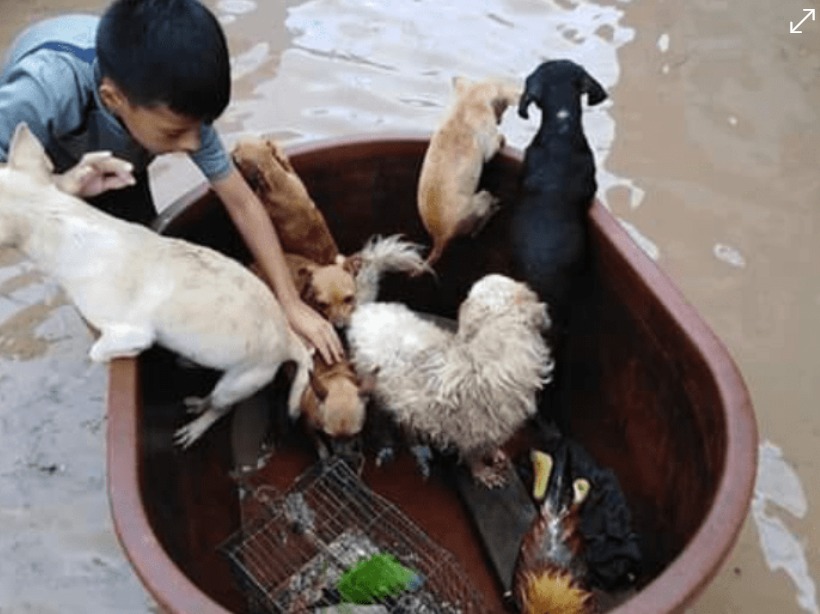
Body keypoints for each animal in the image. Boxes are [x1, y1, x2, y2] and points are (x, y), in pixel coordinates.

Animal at [0, 122, 312, 450]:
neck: (56, 216)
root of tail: (291, 341)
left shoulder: (130, 332)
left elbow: (98, 351)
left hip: (238, 383)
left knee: (221, 406)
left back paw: (196, 424)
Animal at [350, 274, 556, 486]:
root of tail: (366, 311)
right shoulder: (472, 429)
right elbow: (473, 455)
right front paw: (482, 472)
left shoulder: (495, 425)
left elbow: (490, 444)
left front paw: (494, 453)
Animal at [416, 75, 520, 268]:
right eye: (504, 107)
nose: (500, 121)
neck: (470, 98)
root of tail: (440, 238)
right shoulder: (489, 143)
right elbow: (495, 143)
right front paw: (502, 138)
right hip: (481, 198)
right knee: (477, 227)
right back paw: (493, 208)